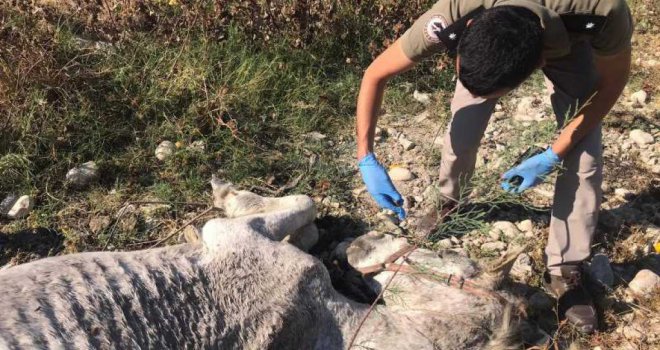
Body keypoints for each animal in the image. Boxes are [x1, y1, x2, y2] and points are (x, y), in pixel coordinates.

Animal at [0, 179, 524, 348]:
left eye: (454, 257)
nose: (364, 241)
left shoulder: (236, 242)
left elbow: (294, 207)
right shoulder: (235, 239)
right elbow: (302, 206)